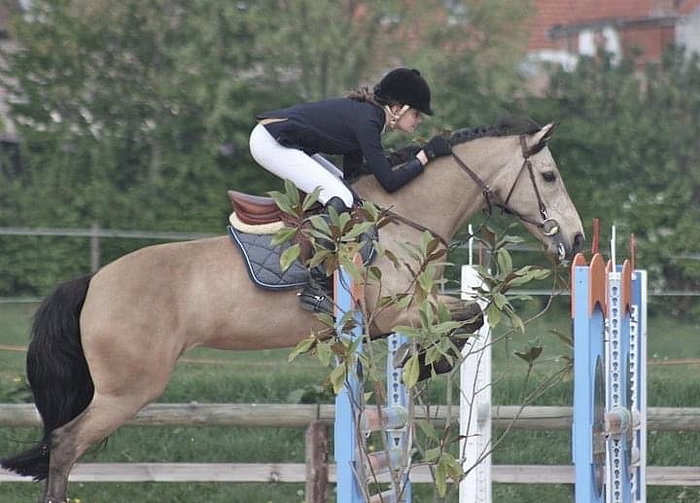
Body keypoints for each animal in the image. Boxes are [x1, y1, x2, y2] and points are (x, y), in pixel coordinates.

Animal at [1, 119, 584, 503]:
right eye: (550, 177)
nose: (576, 240)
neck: (404, 217)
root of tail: (94, 282)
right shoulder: (392, 315)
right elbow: (468, 316)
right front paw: (433, 359)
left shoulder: (408, 312)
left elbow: (468, 316)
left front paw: (431, 359)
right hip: (129, 388)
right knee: (64, 444)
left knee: (63, 446)